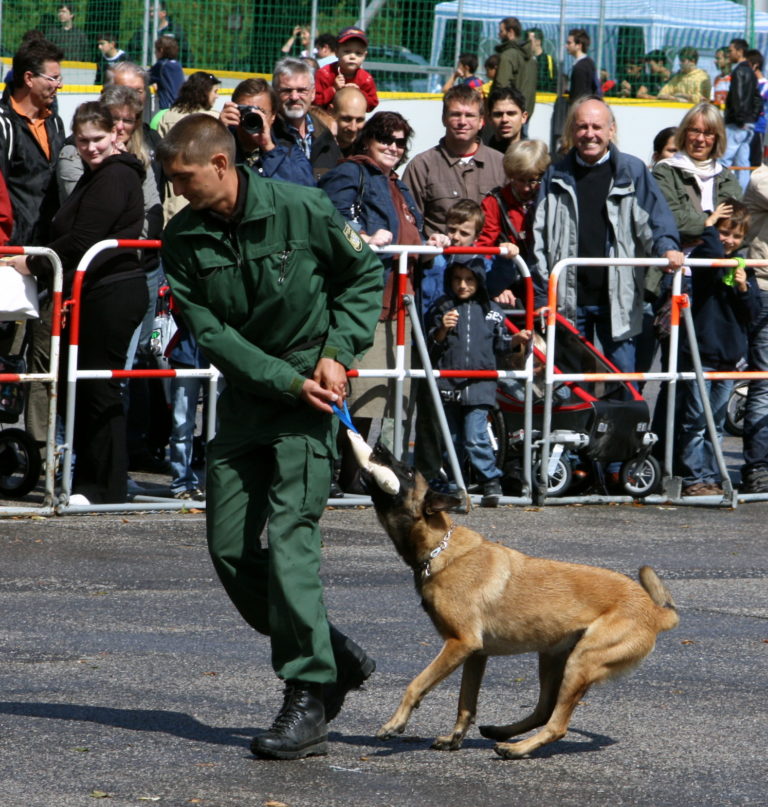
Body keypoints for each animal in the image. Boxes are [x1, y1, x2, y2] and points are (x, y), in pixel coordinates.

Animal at [352, 436, 680, 756]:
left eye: (408, 472)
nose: (378, 445)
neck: (439, 549)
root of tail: (655, 611)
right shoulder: (474, 654)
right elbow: (465, 704)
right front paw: (454, 738)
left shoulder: (459, 644)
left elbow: (416, 684)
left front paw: (395, 724)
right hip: (552, 658)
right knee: (544, 711)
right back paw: (502, 733)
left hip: (581, 661)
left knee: (556, 725)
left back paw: (517, 749)